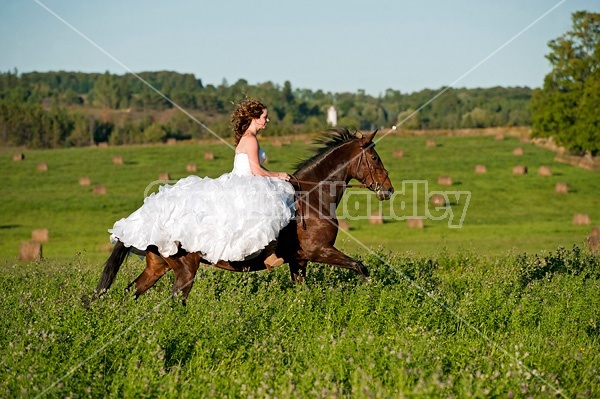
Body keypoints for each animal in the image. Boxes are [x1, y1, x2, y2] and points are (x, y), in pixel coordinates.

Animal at [92, 130, 394, 304]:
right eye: (375, 158)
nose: (389, 190)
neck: (312, 197)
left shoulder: (298, 261)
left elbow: (303, 293)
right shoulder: (319, 250)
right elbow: (361, 267)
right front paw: (372, 294)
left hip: (157, 266)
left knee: (129, 293)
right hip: (185, 269)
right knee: (175, 301)